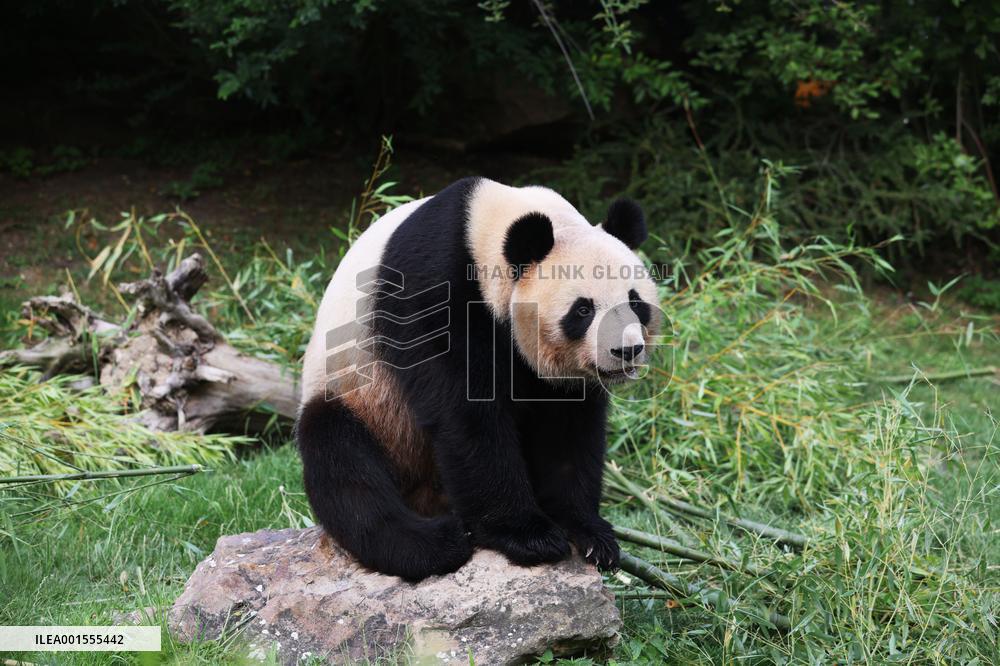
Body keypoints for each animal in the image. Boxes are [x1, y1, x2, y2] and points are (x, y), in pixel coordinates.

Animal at [297, 177, 660, 581]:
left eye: (635, 303)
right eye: (583, 310)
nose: (627, 350)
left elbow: (567, 429)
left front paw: (590, 534)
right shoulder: (432, 290)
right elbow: (466, 414)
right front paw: (528, 536)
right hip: (357, 394)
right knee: (343, 464)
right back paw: (437, 544)